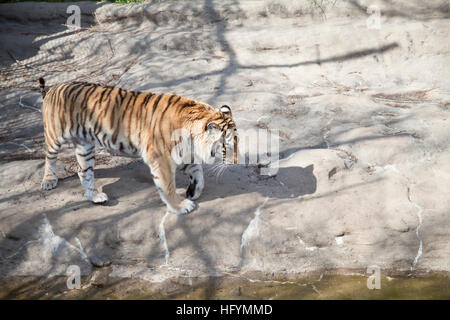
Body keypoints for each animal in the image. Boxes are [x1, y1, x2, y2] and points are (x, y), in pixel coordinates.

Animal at [37, 77, 239, 215]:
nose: (236, 162)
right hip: (55, 136)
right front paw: (180, 206)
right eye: (226, 147)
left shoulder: (182, 153)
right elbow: (168, 185)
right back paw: (48, 181)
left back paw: (96, 197)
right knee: (49, 157)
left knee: (83, 171)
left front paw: (193, 191)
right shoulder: (161, 158)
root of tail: (54, 87)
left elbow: (198, 172)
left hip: (84, 146)